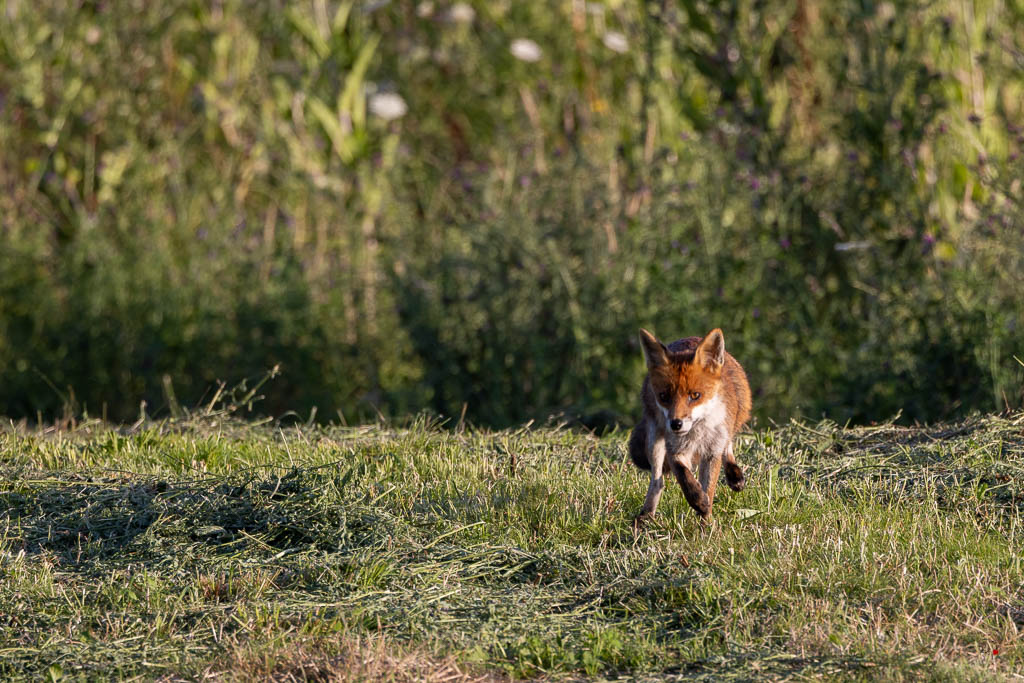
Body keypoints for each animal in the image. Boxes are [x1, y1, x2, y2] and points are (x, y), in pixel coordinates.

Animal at [628, 328, 751, 525]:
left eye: (695, 395)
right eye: (664, 396)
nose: (676, 424)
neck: (697, 434)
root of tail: (691, 337)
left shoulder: (712, 452)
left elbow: (709, 487)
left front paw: (705, 524)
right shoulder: (674, 450)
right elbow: (685, 478)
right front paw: (698, 501)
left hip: (732, 423)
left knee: (728, 446)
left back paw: (734, 474)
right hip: (654, 440)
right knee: (657, 481)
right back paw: (645, 516)